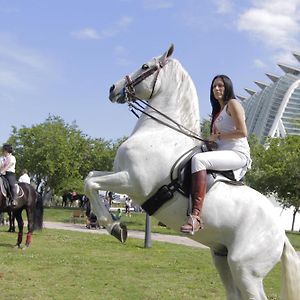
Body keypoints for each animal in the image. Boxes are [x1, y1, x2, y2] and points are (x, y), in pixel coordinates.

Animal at [84, 45, 300, 300]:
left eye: (145, 66)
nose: (113, 88)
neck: (160, 132)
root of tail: (282, 235)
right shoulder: (120, 175)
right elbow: (90, 178)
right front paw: (115, 225)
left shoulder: (133, 183)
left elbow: (91, 184)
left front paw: (115, 227)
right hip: (222, 258)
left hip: (246, 270)